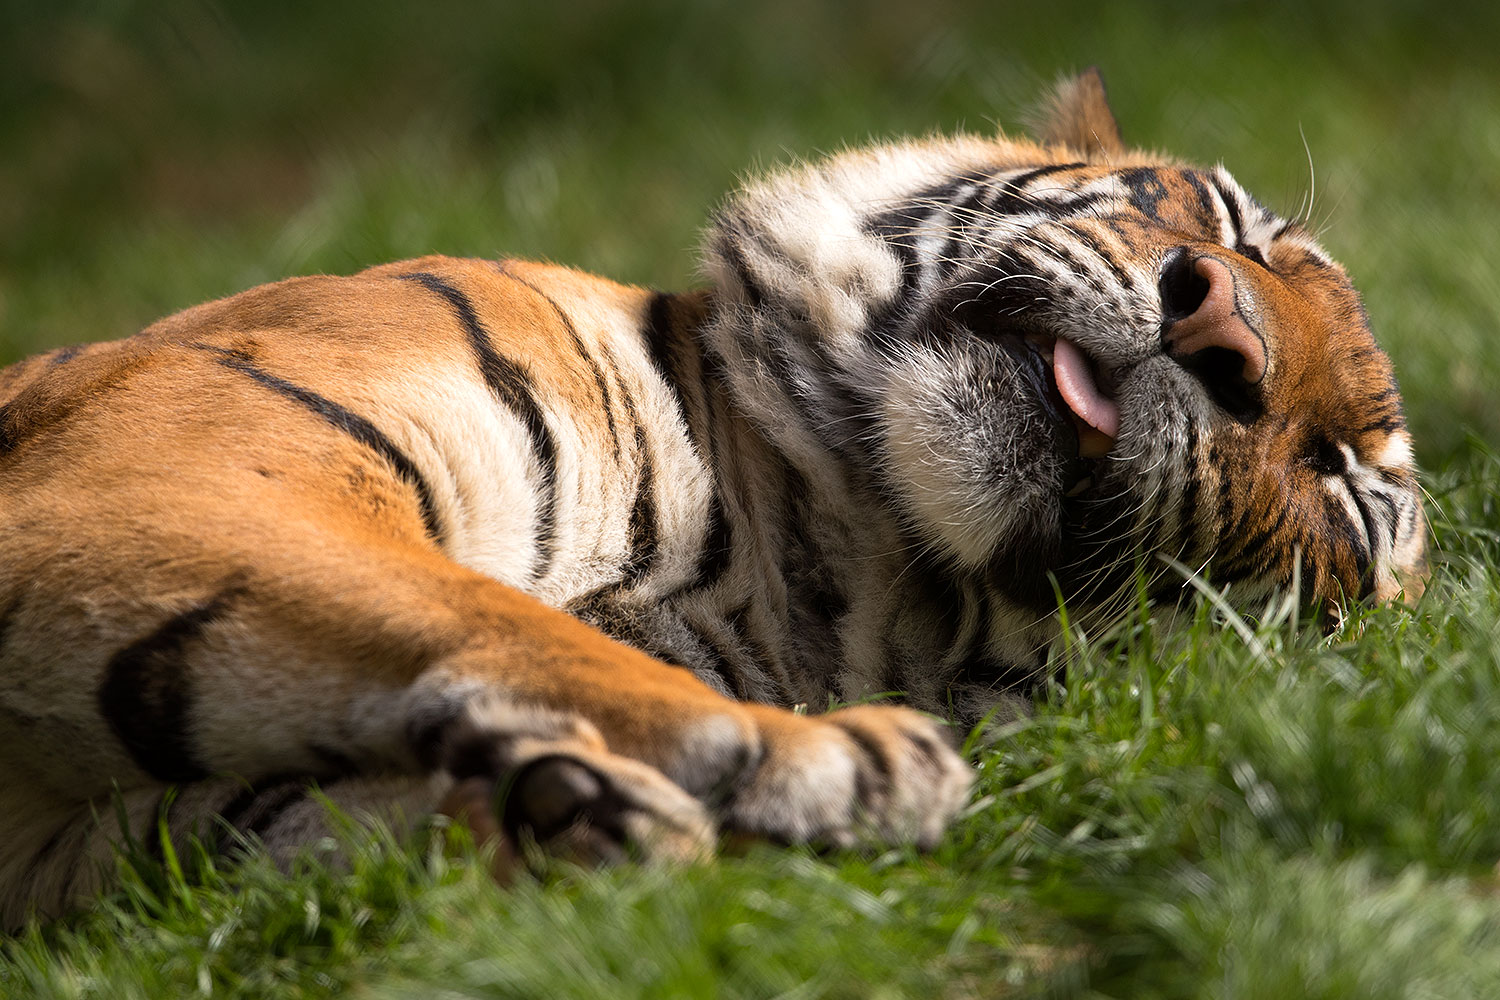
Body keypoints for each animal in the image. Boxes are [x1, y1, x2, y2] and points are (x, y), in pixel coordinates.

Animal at [0, 71, 1426, 928]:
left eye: (1343, 485)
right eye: (1235, 228)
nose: (1222, 329)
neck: (805, 562)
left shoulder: (146, 833)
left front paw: (571, 811)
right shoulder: (174, 463)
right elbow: (496, 618)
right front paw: (829, 757)